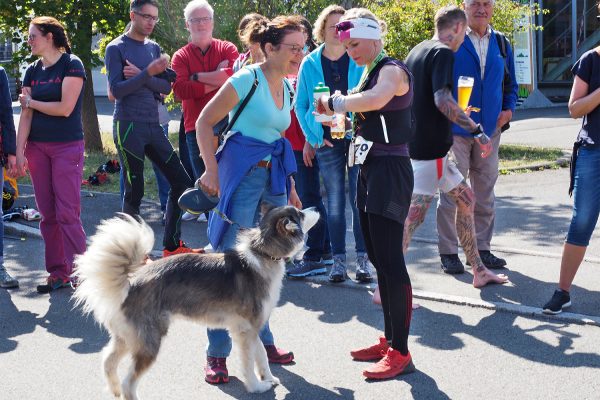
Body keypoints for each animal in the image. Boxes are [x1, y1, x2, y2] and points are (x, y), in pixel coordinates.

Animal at [73, 205, 322, 398]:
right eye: (300, 214)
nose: (317, 208)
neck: (263, 255)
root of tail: (130, 283)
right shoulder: (246, 332)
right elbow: (249, 363)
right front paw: (255, 387)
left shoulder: (253, 328)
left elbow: (262, 355)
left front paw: (268, 379)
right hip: (149, 343)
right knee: (128, 382)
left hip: (128, 338)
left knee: (107, 361)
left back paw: (113, 389)